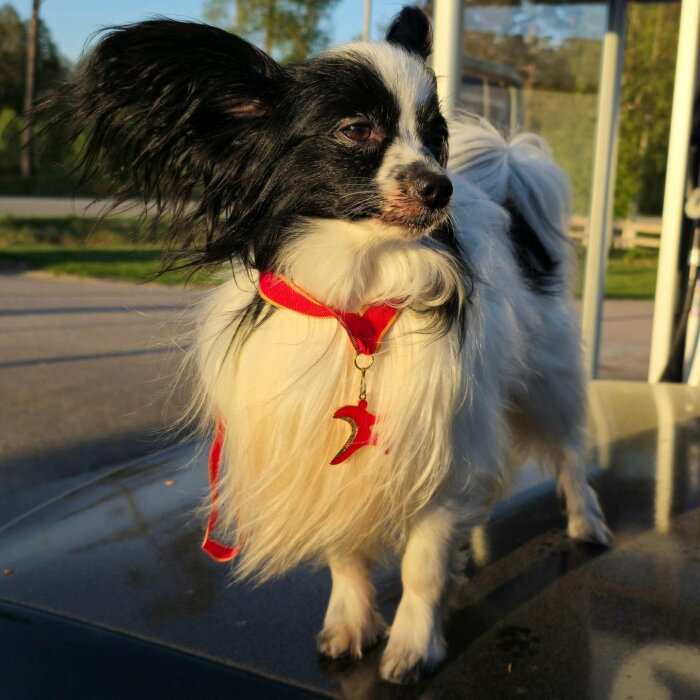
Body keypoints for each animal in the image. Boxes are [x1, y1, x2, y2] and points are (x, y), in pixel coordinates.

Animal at [49, 5, 608, 684]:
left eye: (435, 135)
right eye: (356, 129)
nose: (441, 187)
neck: (358, 294)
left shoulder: (440, 442)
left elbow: (422, 565)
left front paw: (413, 644)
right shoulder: (329, 455)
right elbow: (346, 552)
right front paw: (352, 622)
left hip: (547, 382)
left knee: (569, 454)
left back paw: (586, 521)